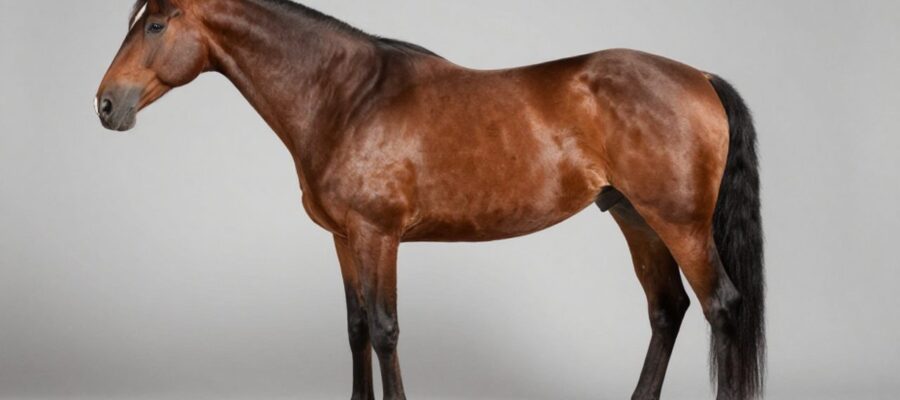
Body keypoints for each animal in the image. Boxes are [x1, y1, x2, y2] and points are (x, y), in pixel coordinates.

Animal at [95, 1, 765, 399]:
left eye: (155, 24)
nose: (105, 104)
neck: (348, 98)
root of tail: (701, 77)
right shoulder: (344, 239)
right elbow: (356, 327)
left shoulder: (378, 235)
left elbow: (386, 329)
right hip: (635, 218)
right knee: (667, 309)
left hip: (679, 224)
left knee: (723, 307)